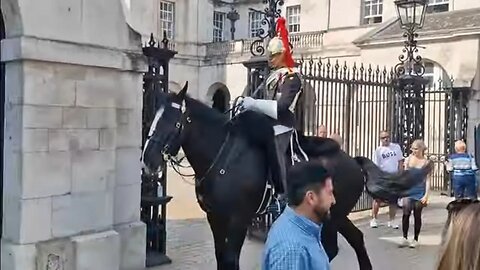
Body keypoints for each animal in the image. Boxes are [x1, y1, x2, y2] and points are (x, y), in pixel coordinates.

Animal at [142, 83, 432, 270]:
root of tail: (351, 159)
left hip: (332, 216)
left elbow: (230, 260)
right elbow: (220, 258)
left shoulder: (238, 219)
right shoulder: (216, 218)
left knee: (331, 248)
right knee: (355, 240)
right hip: (336, 214)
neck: (222, 156)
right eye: (154, 118)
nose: (148, 161)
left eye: (173, 121)